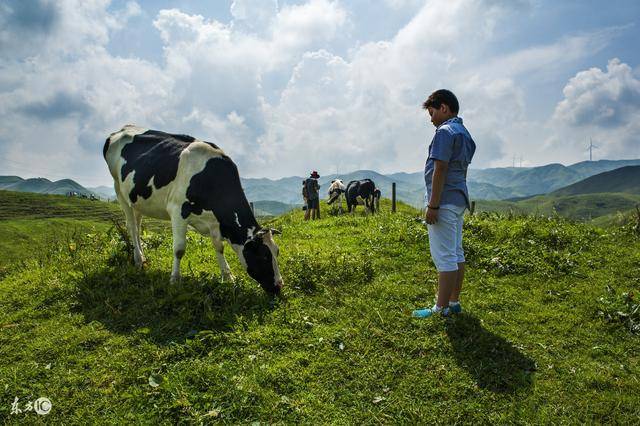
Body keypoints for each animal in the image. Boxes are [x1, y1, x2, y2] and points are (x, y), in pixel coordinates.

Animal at [104, 125, 284, 294]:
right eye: (264, 256)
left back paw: (143, 257)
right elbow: (179, 249)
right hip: (119, 190)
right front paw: (175, 280)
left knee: (138, 225)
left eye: (277, 252)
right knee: (132, 228)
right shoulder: (177, 210)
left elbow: (219, 247)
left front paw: (228, 276)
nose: (279, 286)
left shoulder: (214, 222)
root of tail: (121, 129)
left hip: (137, 199)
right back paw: (138, 260)